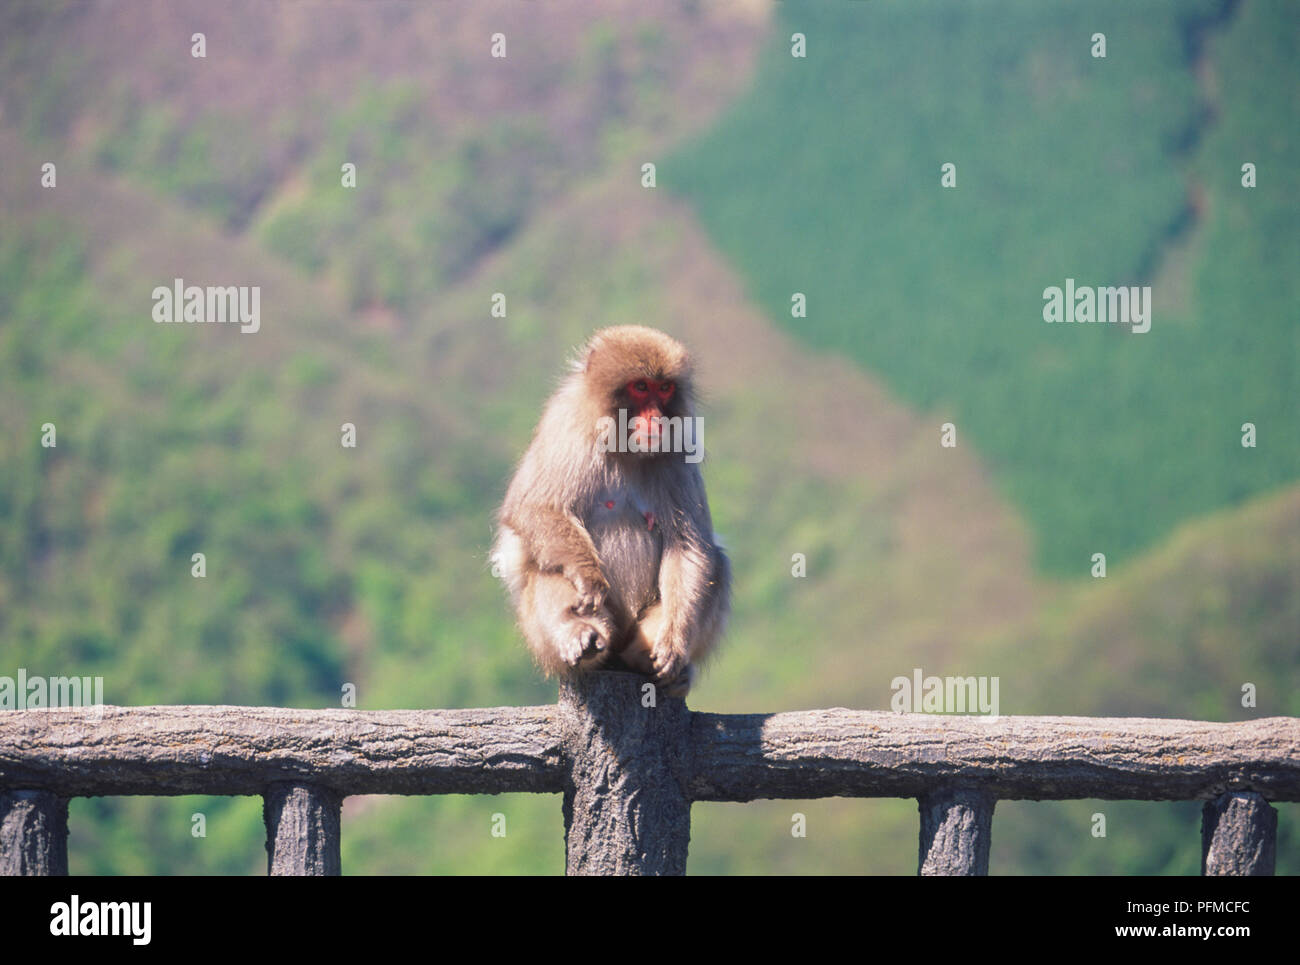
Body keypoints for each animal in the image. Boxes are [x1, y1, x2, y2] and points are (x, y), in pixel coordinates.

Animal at [488, 329, 733, 697]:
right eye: (641, 387)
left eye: (665, 388)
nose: (656, 417)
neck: (623, 445)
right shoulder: (567, 424)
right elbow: (536, 508)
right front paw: (588, 577)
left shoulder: (677, 451)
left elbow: (688, 545)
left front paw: (673, 641)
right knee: (544, 563)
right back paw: (580, 636)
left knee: (716, 561)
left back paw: (648, 659)